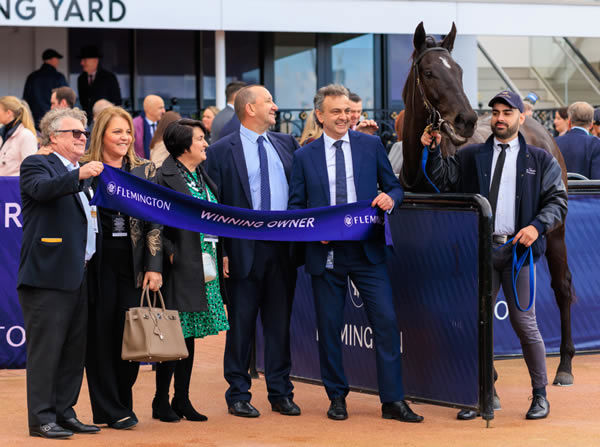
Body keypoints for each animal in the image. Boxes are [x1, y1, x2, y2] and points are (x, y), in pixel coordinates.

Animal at [398, 21, 576, 386]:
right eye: (429, 72)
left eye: (459, 70)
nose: (466, 120)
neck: (421, 171)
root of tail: (540, 128)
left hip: (555, 230)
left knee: (562, 285)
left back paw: (564, 364)